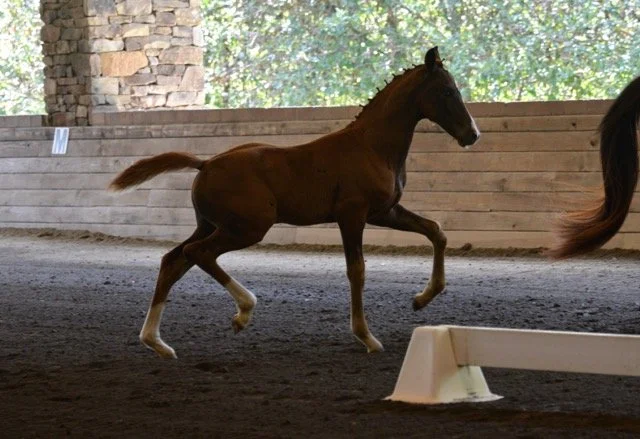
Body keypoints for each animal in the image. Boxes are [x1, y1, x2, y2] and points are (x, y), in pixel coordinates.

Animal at [109, 47, 480, 359]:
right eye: (448, 91)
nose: (472, 134)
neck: (373, 147)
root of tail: (206, 164)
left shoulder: (384, 212)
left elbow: (436, 231)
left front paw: (421, 299)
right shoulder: (352, 214)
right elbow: (357, 270)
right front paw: (366, 336)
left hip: (212, 224)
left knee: (174, 260)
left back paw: (157, 343)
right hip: (248, 228)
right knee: (197, 253)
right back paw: (243, 311)